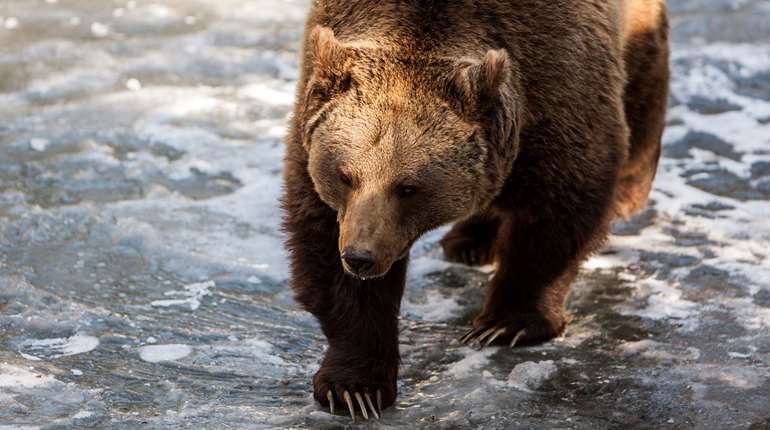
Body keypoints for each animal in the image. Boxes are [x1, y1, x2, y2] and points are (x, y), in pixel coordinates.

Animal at [282, 0, 669, 420]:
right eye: (345, 176)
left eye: (408, 187)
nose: (360, 257)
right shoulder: (314, 142)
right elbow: (323, 248)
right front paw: (354, 386)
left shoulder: (560, 81)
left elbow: (559, 209)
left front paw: (505, 323)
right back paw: (470, 240)